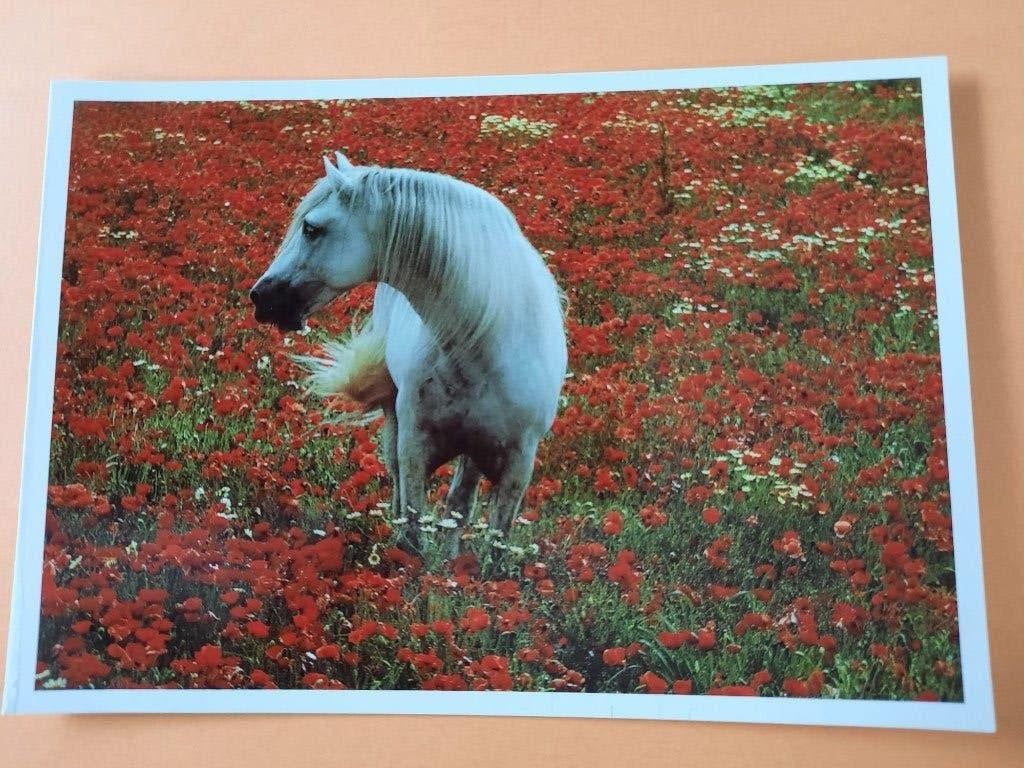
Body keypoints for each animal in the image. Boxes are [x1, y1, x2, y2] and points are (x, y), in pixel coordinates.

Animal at [250, 152, 568, 556]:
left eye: (311, 228)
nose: (260, 297)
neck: (483, 346)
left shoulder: (518, 466)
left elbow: (492, 543)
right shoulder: (414, 447)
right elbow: (414, 527)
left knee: (458, 505)